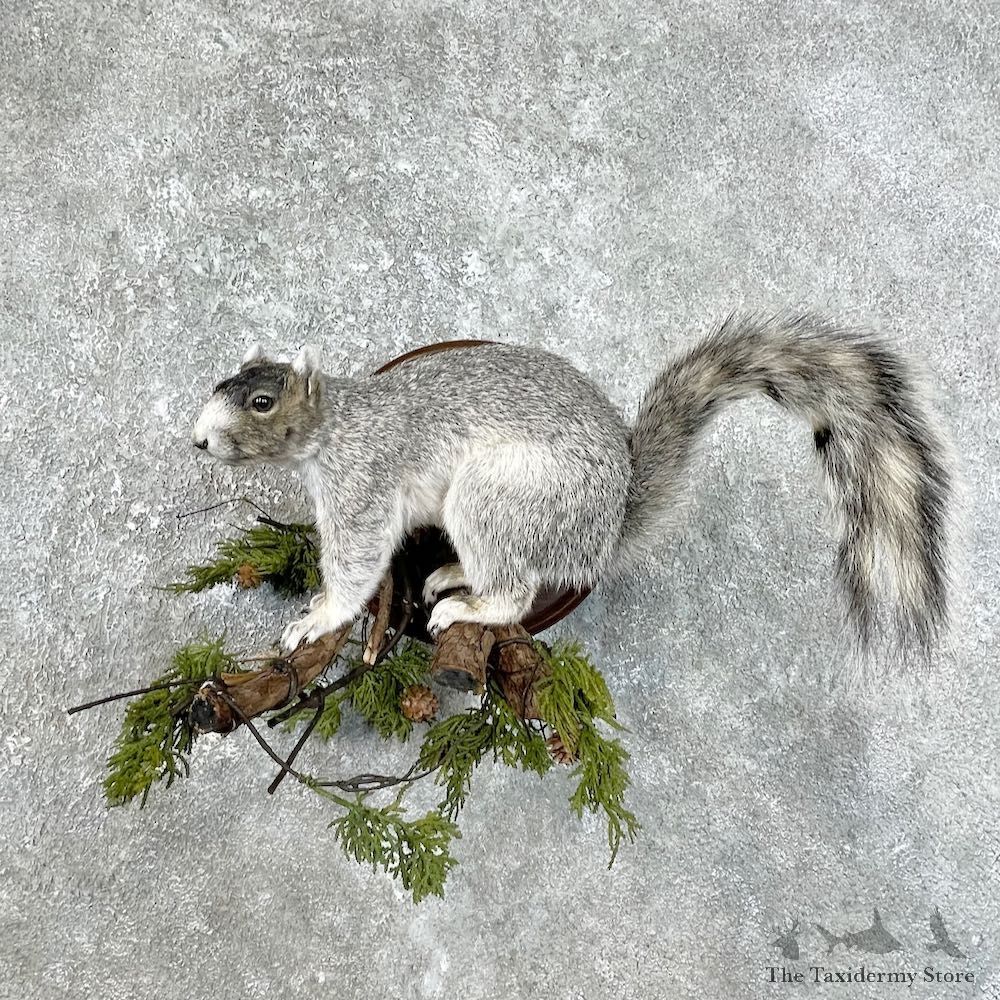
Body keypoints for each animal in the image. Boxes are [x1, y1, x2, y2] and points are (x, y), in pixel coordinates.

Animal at [192, 313, 954, 655]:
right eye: (224, 379)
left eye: (262, 402)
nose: (198, 439)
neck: (336, 425)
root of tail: (605, 531)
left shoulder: (364, 481)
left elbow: (355, 564)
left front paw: (318, 617)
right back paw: (450, 574)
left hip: (505, 496)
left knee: (516, 590)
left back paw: (466, 605)